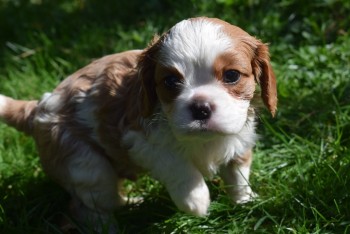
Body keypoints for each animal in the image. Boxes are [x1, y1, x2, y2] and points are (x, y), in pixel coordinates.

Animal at [0, 17, 276, 227]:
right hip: (85, 164)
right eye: (170, 81)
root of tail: (38, 107)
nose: (200, 107)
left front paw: (246, 202)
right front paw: (195, 200)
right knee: (91, 208)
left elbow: (238, 172)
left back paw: (132, 203)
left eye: (231, 75)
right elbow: (178, 165)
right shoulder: (141, 140)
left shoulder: (239, 138)